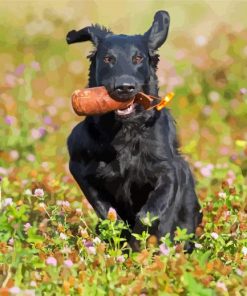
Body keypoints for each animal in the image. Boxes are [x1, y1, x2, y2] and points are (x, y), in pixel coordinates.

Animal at [66, 11, 202, 250]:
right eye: (108, 59)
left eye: (138, 58)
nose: (124, 87)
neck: (124, 130)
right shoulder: (78, 166)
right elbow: (105, 209)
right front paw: (121, 235)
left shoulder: (168, 170)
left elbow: (150, 213)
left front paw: (139, 239)